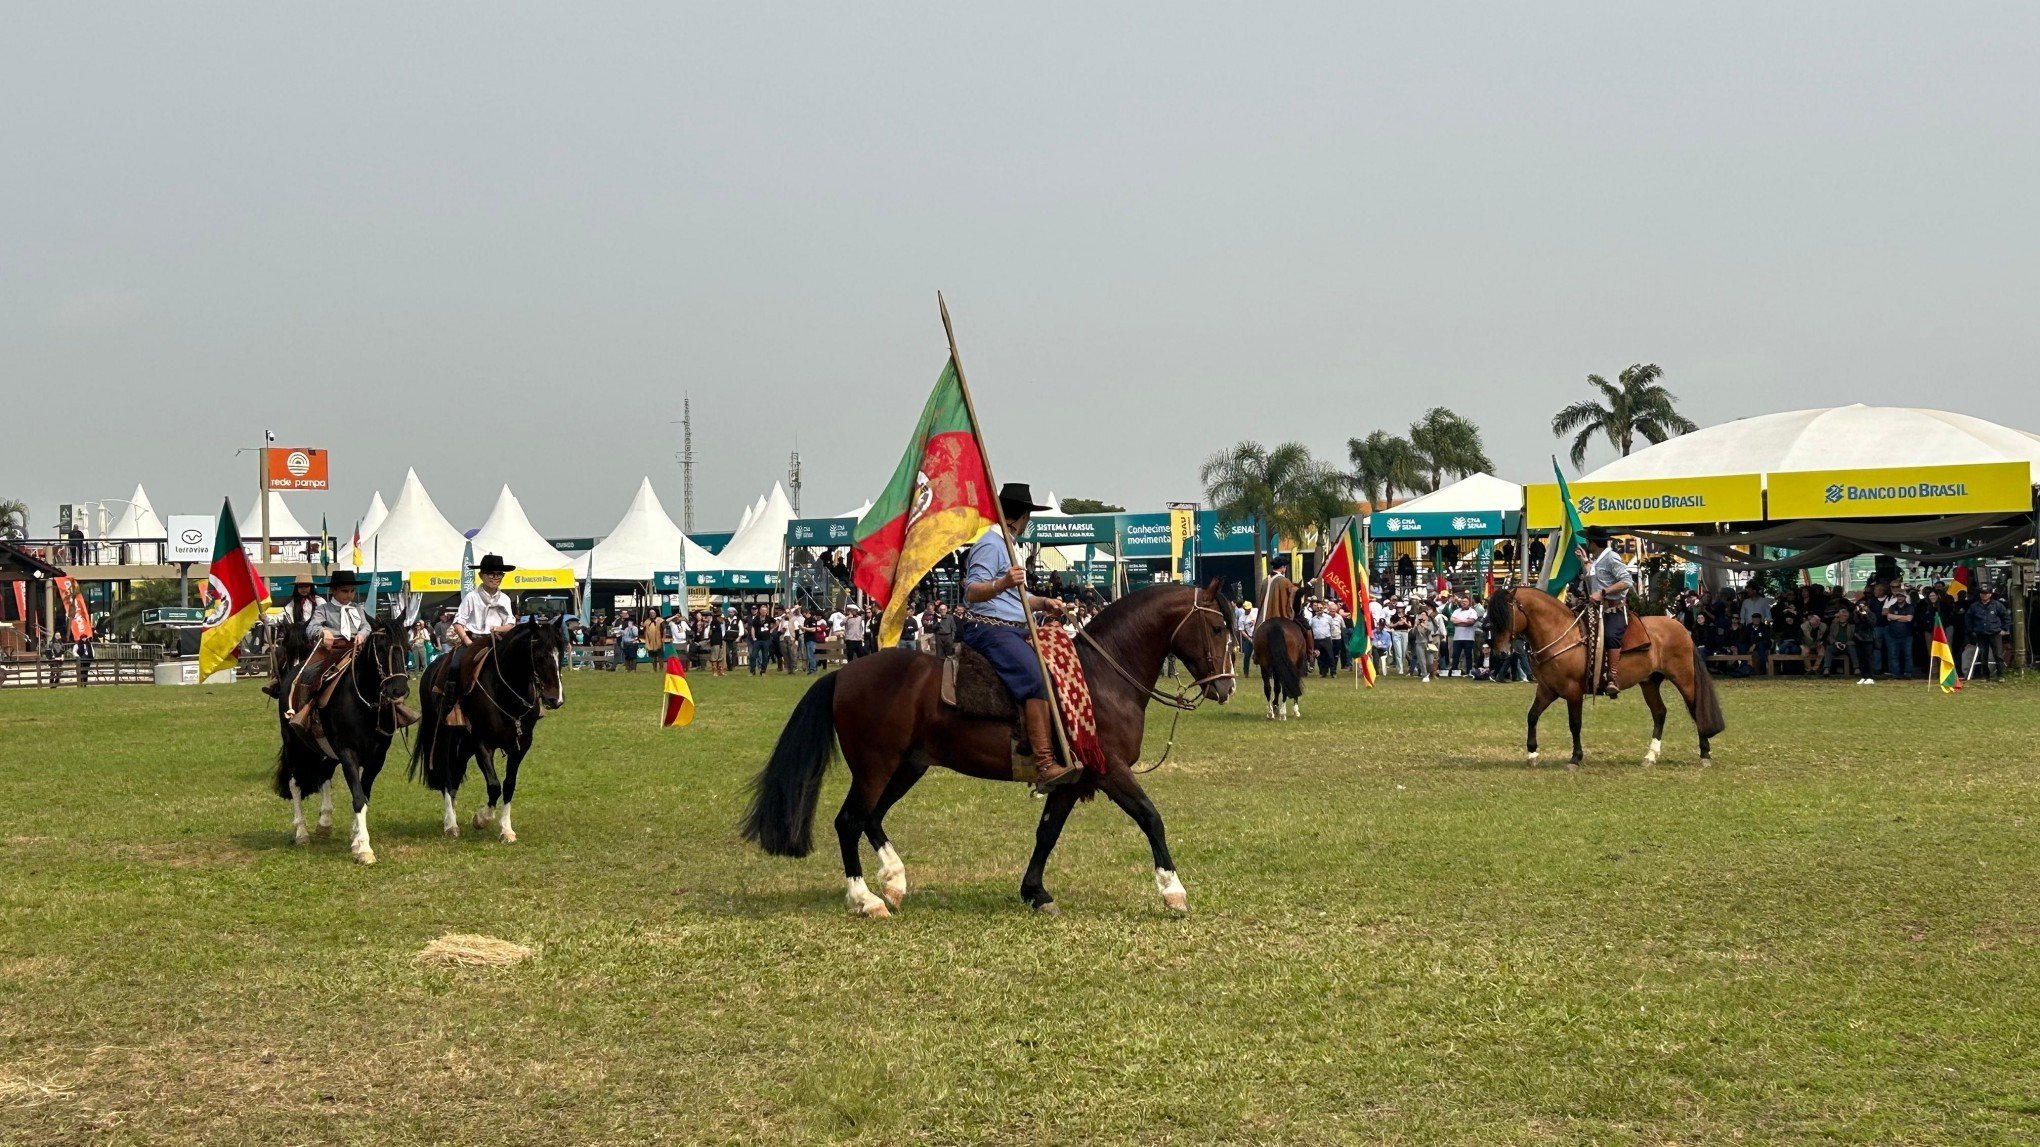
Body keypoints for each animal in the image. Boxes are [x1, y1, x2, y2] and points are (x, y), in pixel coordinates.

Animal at [271, 616, 414, 857]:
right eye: (381, 648)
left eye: (406, 647)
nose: (398, 690)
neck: (363, 703)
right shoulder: (348, 754)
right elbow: (358, 798)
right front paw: (364, 847)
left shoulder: (377, 759)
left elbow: (364, 795)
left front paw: (356, 838)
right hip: (295, 746)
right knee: (294, 783)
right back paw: (301, 833)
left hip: (326, 752)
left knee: (324, 775)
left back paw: (325, 822)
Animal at [408, 616, 567, 840]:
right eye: (539, 655)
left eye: (561, 652)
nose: (556, 699)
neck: (505, 692)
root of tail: (433, 668)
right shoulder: (482, 744)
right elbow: (494, 785)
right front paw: (481, 819)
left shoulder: (521, 745)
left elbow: (509, 785)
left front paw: (506, 829)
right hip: (445, 739)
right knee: (447, 777)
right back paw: (451, 825)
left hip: (463, 746)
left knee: (455, 776)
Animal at [742, 579, 1232, 910]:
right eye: (1217, 627)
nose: (1224, 686)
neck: (1101, 679)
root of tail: (844, 672)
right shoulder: (1110, 769)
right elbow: (1151, 818)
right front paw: (1174, 891)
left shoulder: (1072, 779)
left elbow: (1047, 833)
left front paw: (1035, 892)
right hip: (874, 766)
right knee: (849, 821)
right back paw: (867, 899)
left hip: (907, 766)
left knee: (872, 818)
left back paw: (895, 881)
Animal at [1485, 583, 1721, 763]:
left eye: (1506, 615)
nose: (1499, 652)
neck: (1563, 635)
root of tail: (1681, 628)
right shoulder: (1547, 689)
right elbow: (1532, 716)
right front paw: (1532, 754)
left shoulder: (1573, 691)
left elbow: (1575, 723)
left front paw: (1576, 757)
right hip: (1650, 682)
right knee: (1659, 713)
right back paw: (1650, 756)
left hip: (1684, 679)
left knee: (1695, 707)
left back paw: (1705, 754)